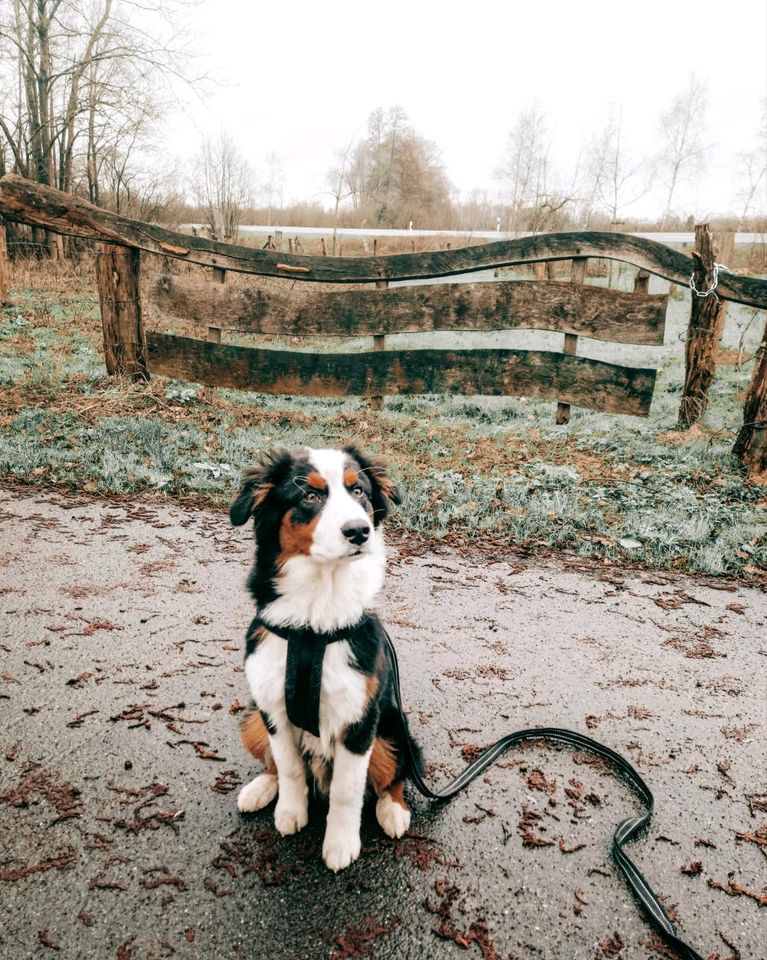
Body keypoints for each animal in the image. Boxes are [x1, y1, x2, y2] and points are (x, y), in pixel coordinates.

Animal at [231, 446, 424, 872]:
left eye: (359, 491)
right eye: (309, 495)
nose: (359, 531)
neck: (313, 625)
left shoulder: (359, 719)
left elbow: (347, 790)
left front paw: (340, 844)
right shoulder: (273, 707)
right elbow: (288, 767)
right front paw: (291, 812)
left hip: (392, 727)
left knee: (396, 775)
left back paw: (393, 810)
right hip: (253, 718)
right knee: (274, 764)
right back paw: (260, 788)